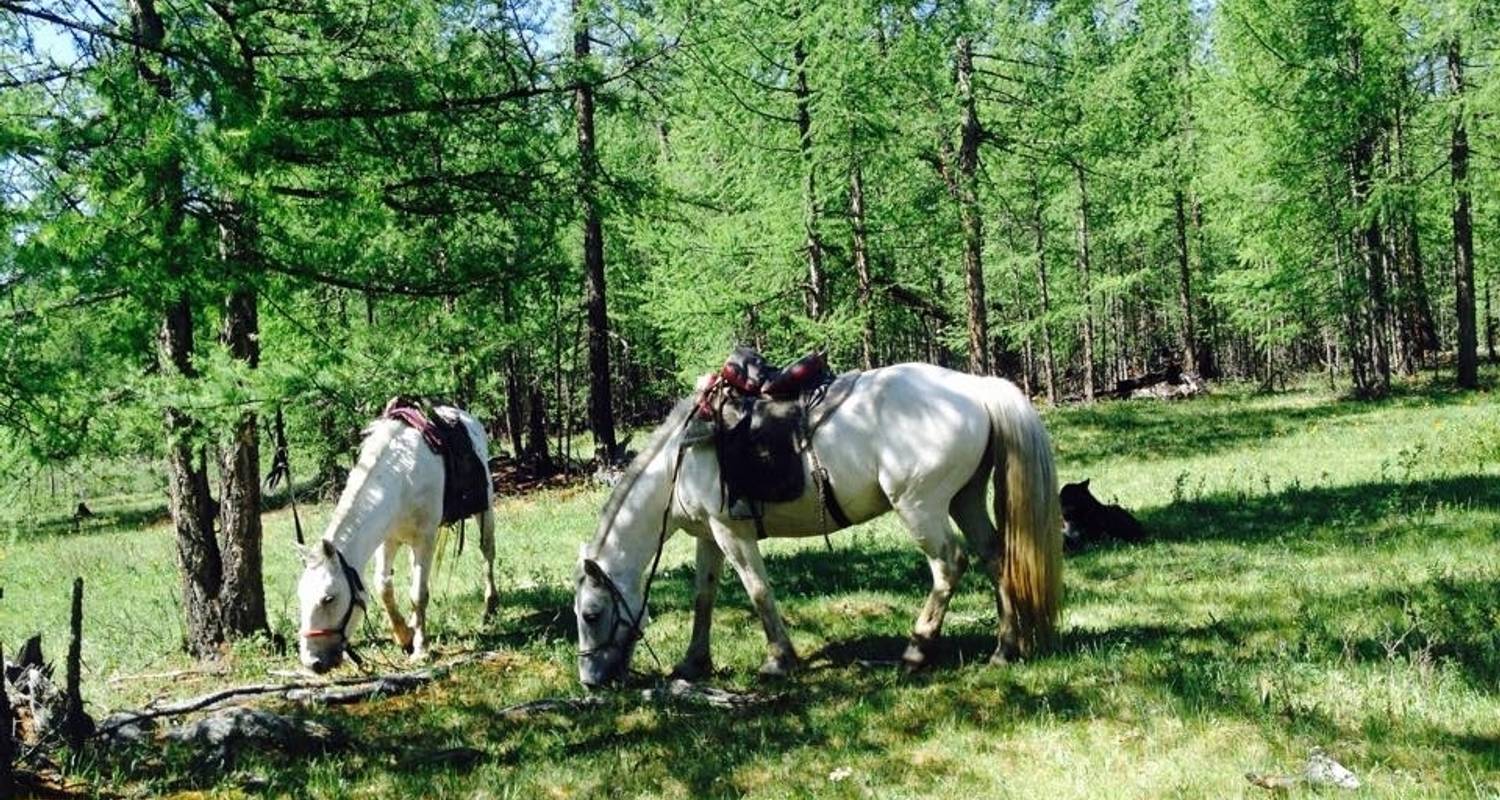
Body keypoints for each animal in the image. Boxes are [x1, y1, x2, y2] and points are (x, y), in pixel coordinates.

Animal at [295, 402, 501, 669]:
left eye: (328, 598)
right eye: (301, 596)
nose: (312, 663)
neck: (401, 477)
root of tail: (465, 416)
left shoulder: (425, 540)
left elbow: (418, 593)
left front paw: (421, 649)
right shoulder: (387, 540)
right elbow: (383, 586)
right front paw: (404, 636)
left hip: (484, 511)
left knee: (487, 552)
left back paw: (490, 608)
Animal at [567, 361, 1062, 687]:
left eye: (592, 613)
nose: (589, 680)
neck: (681, 459)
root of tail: (975, 388)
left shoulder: (732, 531)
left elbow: (758, 591)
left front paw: (778, 661)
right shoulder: (709, 534)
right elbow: (703, 597)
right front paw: (693, 664)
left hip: (921, 506)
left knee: (949, 564)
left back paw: (916, 652)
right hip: (965, 498)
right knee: (995, 557)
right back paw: (1004, 650)